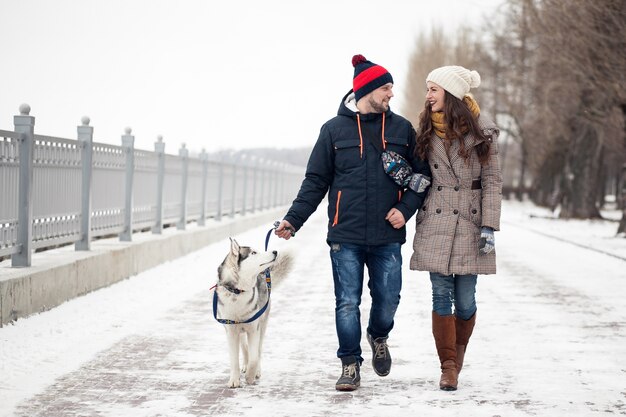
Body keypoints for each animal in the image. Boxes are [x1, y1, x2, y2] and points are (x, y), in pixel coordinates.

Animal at [214, 237, 292, 386]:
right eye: (254, 253)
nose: (275, 251)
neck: (237, 292)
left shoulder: (254, 329)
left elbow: (255, 357)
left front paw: (250, 376)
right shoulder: (231, 331)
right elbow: (234, 359)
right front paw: (234, 380)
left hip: (262, 325)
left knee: (258, 350)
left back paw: (256, 370)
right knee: (244, 347)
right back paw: (245, 364)